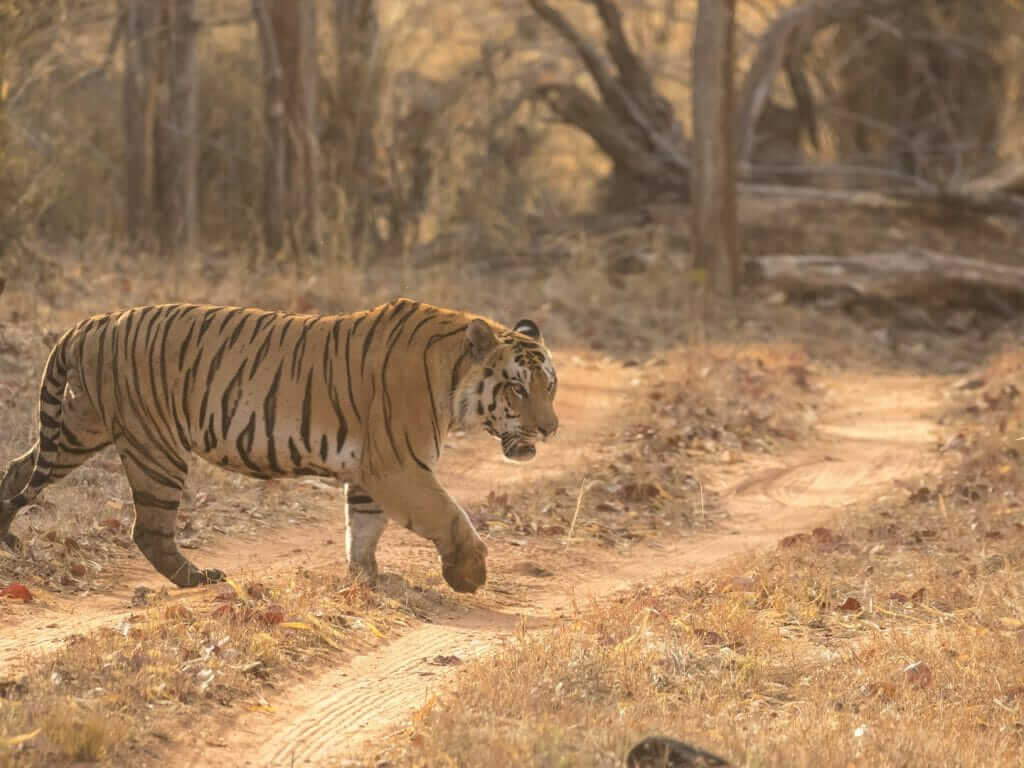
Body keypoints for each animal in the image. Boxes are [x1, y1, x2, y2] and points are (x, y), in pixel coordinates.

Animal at [0, 296, 561, 593]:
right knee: (149, 529)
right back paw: (198, 578)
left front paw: (366, 578)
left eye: (550, 386)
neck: (452, 378)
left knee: (17, 469)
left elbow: (363, 527)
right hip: (153, 448)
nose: (551, 429)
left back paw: (5, 537)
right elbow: (448, 516)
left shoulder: (371, 470)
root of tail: (93, 322)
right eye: (517, 388)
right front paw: (469, 573)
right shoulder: (399, 466)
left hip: (79, 427)